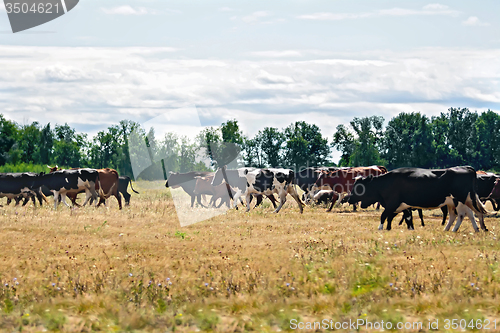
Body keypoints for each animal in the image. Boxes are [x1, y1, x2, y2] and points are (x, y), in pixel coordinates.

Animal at [346, 166, 486, 231]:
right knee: (463, 214)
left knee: (467, 214)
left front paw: (380, 228)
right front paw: (408, 229)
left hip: (461, 199)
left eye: (359, 188)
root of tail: (466, 167)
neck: (387, 182)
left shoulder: (392, 203)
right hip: (455, 201)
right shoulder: (403, 206)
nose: (349, 199)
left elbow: (384, 215)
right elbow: (406, 218)